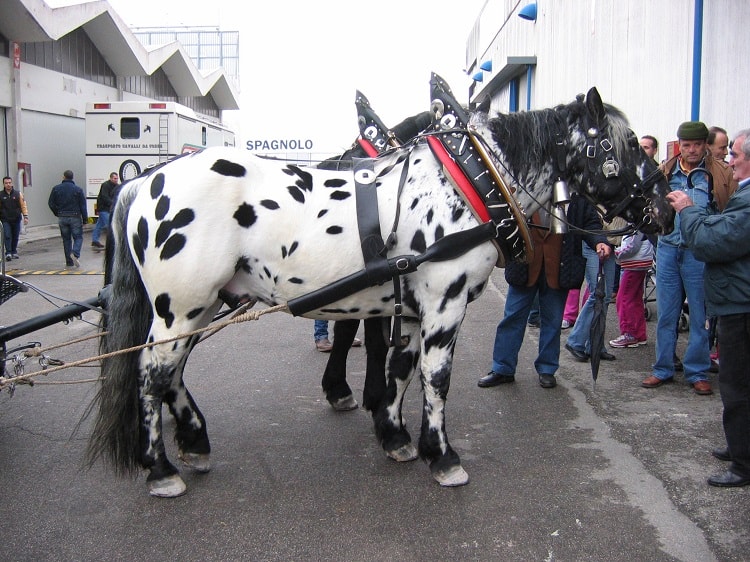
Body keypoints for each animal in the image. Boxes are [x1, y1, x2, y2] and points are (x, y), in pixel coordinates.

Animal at [86, 75, 676, 494]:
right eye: (627, 146)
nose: (667, 210)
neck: (467, 182)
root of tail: (143, 181)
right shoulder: (444, 304)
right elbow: (435, 376)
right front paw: (443, 456)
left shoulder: (413, 307)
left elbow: (400, 367)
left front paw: (395, 436)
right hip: (182, 307)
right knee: (152, 373)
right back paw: (161, 469)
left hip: (195, 307)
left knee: (170, 373)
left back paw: (195, 442)